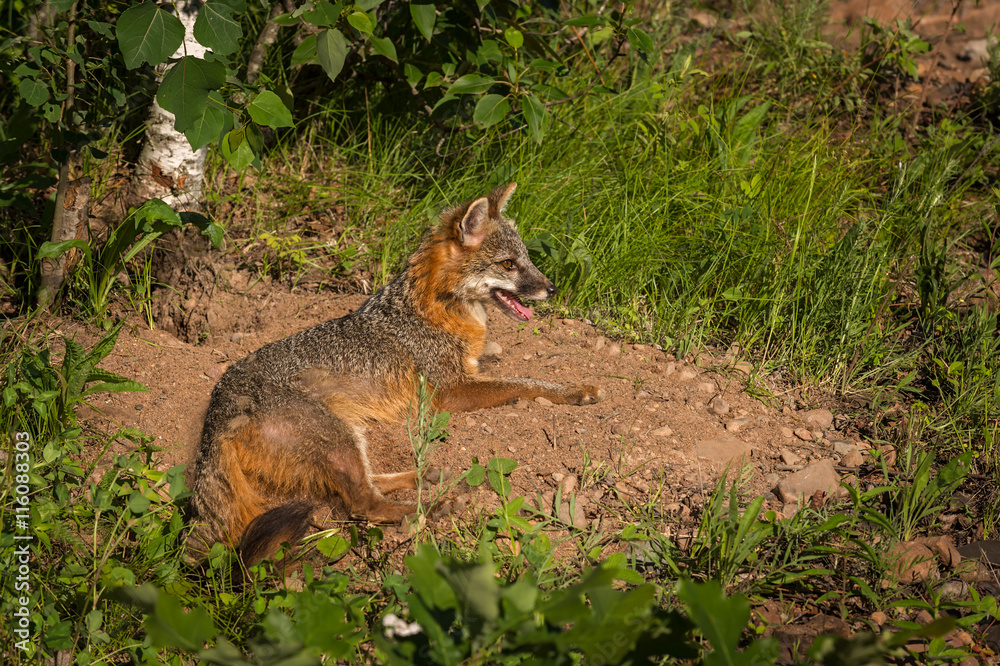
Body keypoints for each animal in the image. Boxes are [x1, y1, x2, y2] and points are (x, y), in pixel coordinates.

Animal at [189, 183, 603, 565]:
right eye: (508, 264)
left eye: (527, 259)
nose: (552, 288)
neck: (437, 310)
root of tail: (219, 405)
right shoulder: (449, 392)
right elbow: (524, 383)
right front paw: (573, 390)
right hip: (337, 439)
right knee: (364, 504)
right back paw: (433, 506)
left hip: (349, 436)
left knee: (369, 484)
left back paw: (428, 475)